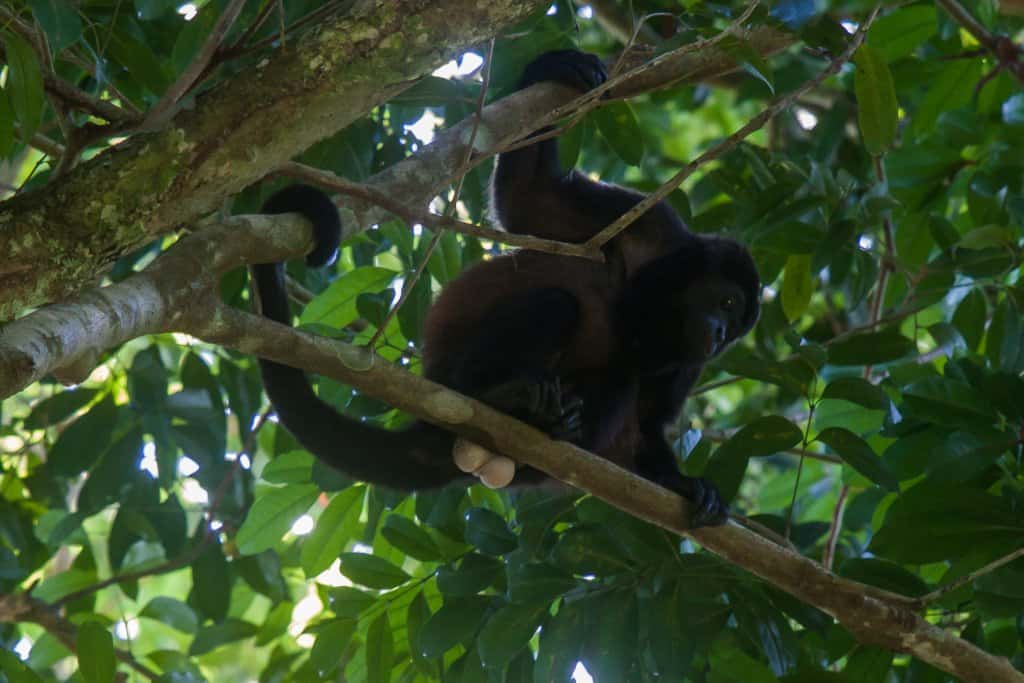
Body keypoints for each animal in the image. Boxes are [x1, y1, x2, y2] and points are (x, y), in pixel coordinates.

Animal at [252, 51, 760, 527]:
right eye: (726, 301)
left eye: (736, 328)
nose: (719, 335)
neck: (650, 304)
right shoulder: (651, 222)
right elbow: (529, 200)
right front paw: (556, 66)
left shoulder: (688, 365)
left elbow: (649, 423)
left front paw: (686, 483)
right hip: (451, 372)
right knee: (556, 306)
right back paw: (499, 396)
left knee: (621, 375)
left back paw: (553, 425)